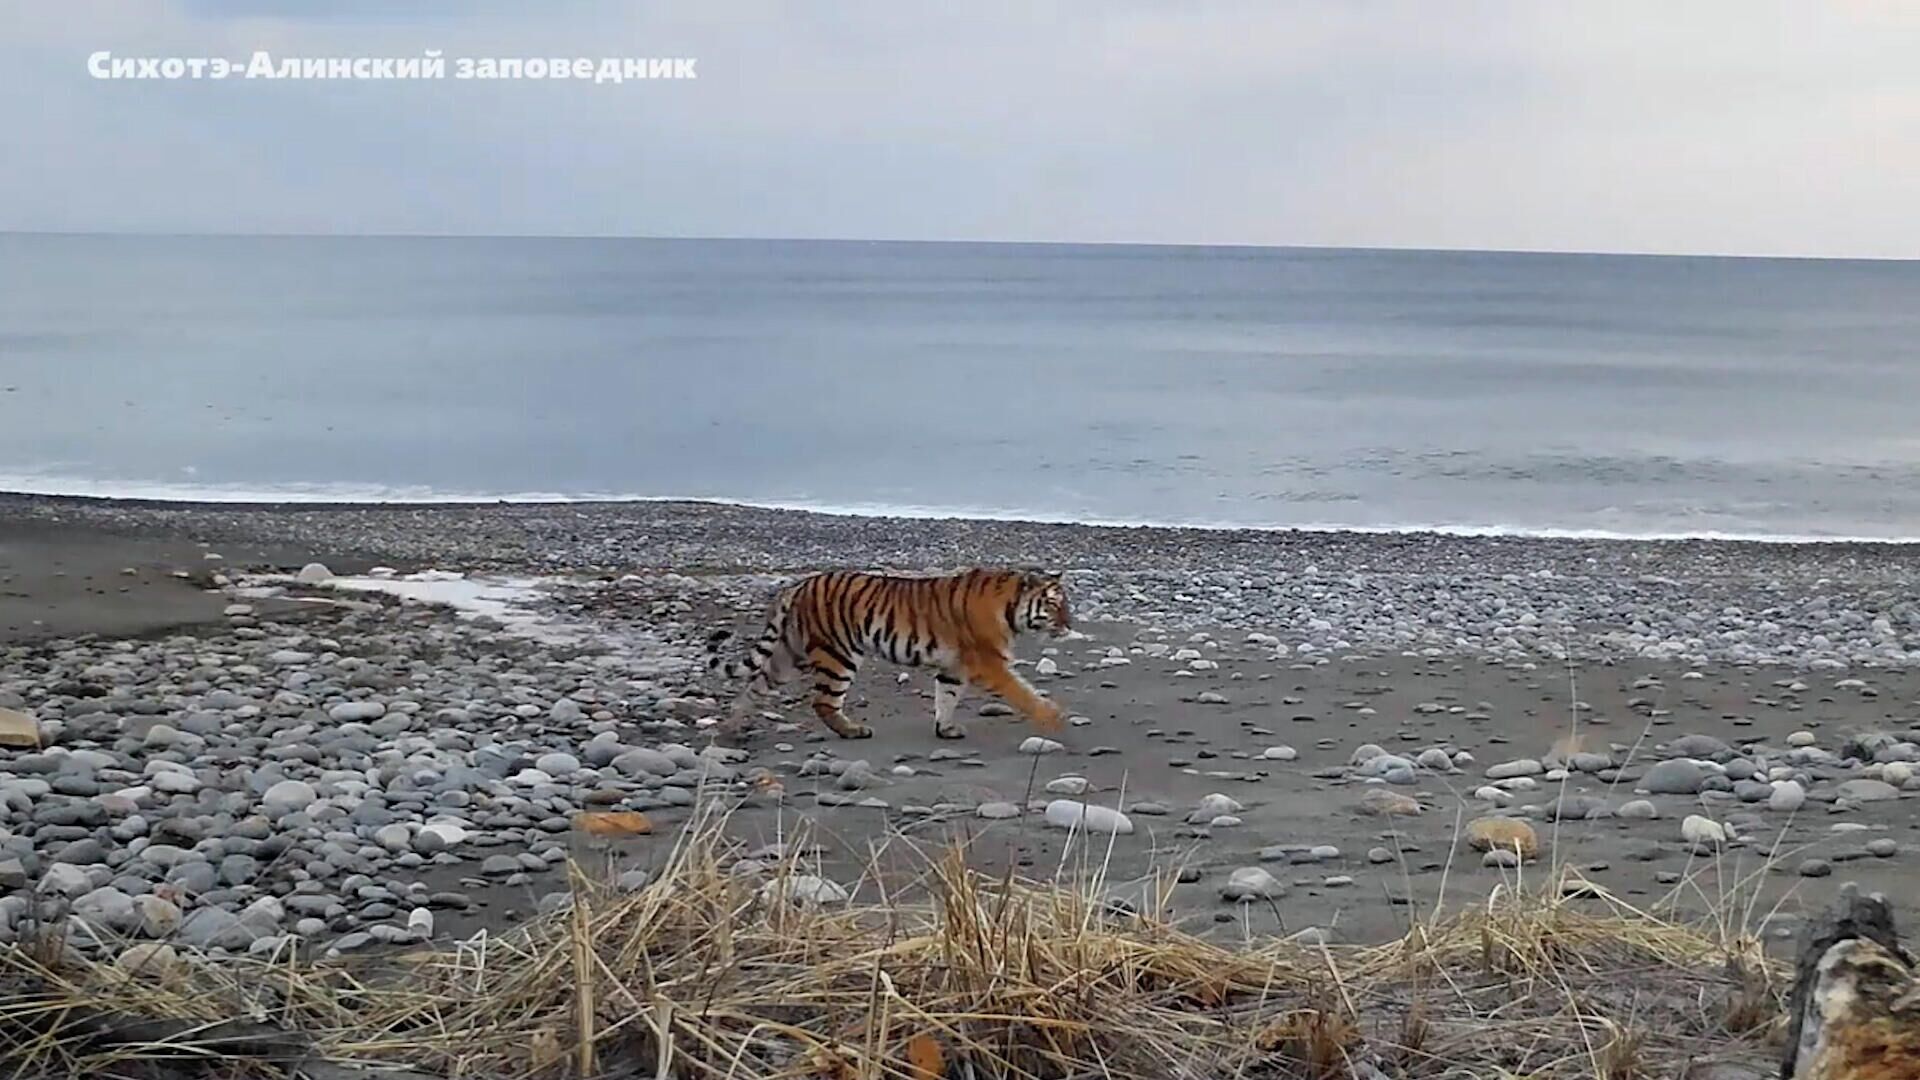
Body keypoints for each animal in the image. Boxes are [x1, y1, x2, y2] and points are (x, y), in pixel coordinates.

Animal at [706, 564, 1075, 737]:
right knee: (823, 701)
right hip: (838, 654)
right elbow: (1022, 692)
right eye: (1054, 604)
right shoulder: (989, 663)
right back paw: (852, 731)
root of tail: (797, 586)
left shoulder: (954, 666)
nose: (1070, 624)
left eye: (1066, 603)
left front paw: (946, 729)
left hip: (788, 654)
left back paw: (730, 730)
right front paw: (1053, 718)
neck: (1011, 609)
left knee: (754, 687)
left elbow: (946, 697)